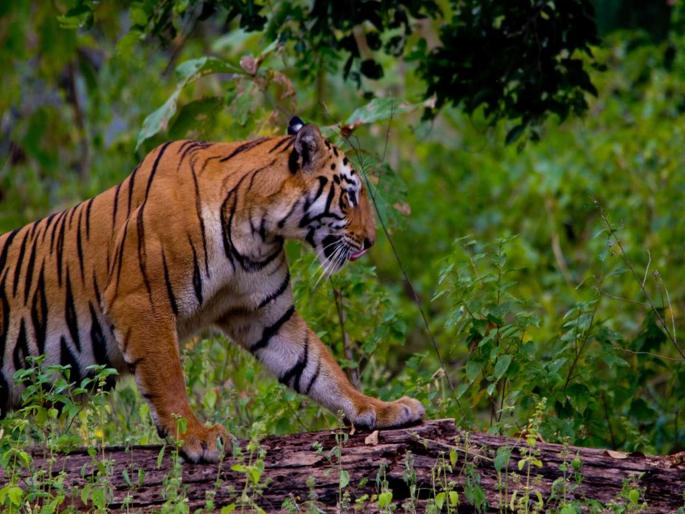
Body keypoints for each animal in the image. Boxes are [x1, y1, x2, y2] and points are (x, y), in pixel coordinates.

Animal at [0, 117, 425, 462]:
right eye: (350, 196)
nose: (371, 240)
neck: (258, 229)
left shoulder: (267, 313)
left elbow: (319, 367)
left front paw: (381, 408)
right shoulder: (140, 301)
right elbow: (167, 377)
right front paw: (197, 437)